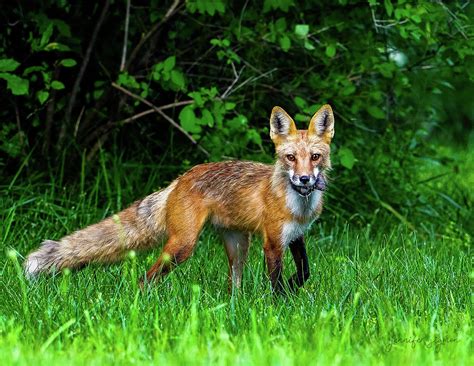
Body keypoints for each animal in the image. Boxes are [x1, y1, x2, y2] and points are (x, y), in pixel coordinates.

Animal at [23, 105, 334, 292]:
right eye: (290, 158)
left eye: (315, 157)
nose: (304, 179)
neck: (298, 206)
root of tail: (179, 180)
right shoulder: (271, 241)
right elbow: (276, 284)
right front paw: (278, 307)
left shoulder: (295, 235)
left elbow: (305, 270)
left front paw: (294, 287)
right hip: (183, 246)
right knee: (145, 278)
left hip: (237, 244)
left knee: (232, 286)